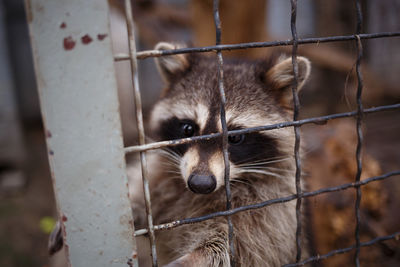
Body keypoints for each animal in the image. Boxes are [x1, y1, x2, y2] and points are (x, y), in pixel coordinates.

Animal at [127, 43, 310, 266]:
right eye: (188, 129)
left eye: (235, 138)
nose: (200, 183)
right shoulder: (157, 180)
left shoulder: (269, 211)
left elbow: (231, 249)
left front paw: (193, 258)